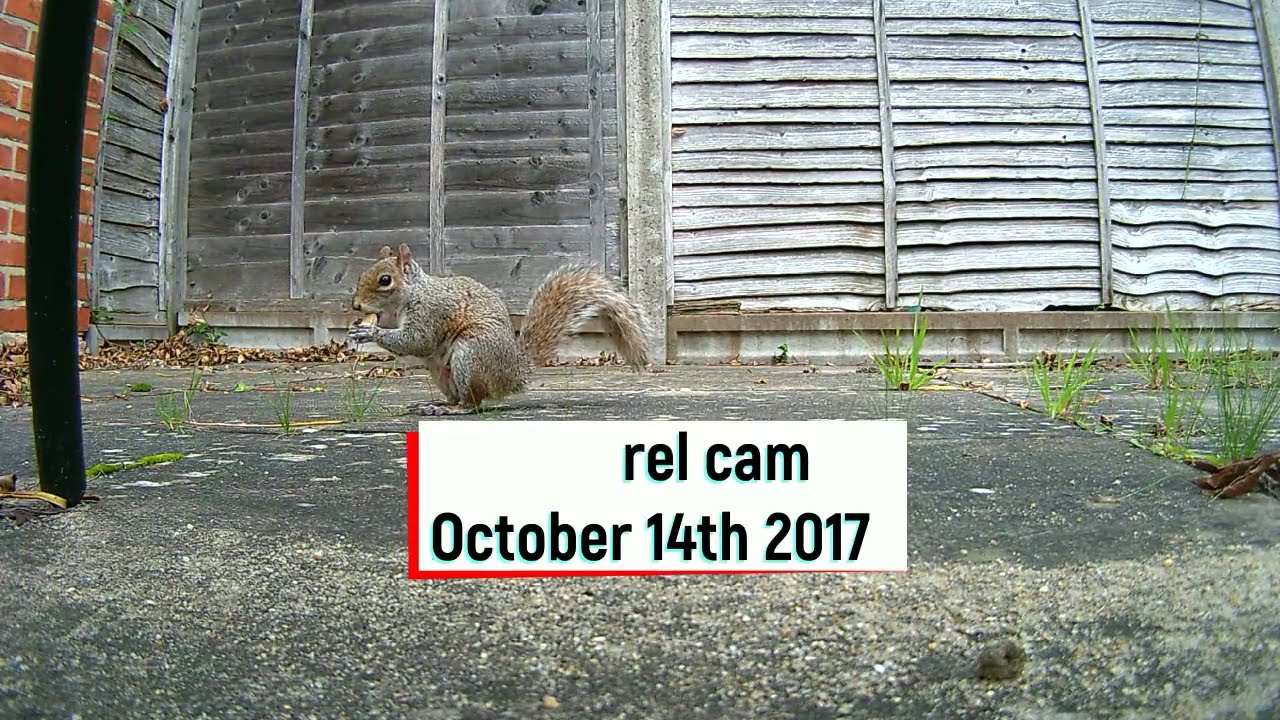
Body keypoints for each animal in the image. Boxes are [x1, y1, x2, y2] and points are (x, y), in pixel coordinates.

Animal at [346, 244, 650, 415]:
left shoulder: (433, 311)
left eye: (385, 280)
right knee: (461, 397)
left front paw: (369, 333)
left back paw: (451, 410)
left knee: (474, 403)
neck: (414, 293)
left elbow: (417, 341)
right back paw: (439, 405)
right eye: (361, 275)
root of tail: (513, 375)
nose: (356, 305)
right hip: (442, 372)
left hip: (471, 354)